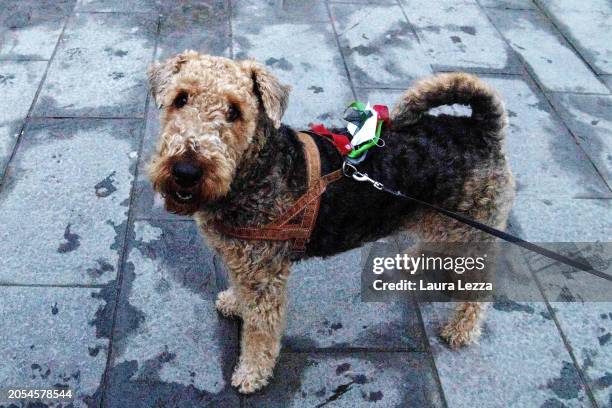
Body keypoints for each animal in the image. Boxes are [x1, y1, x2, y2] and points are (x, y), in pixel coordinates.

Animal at [146, 50, 512, 392]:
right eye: (180, 98)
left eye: (234, 111)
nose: (186, 171)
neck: (254, 169)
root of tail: (482, 128)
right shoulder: (244, 262)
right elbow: (240, 291)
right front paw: (233, 303)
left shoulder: (264, 277)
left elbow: (260, 332)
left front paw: (251, 374)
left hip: (472, 230)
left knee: (478, 291)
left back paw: (460, 330)